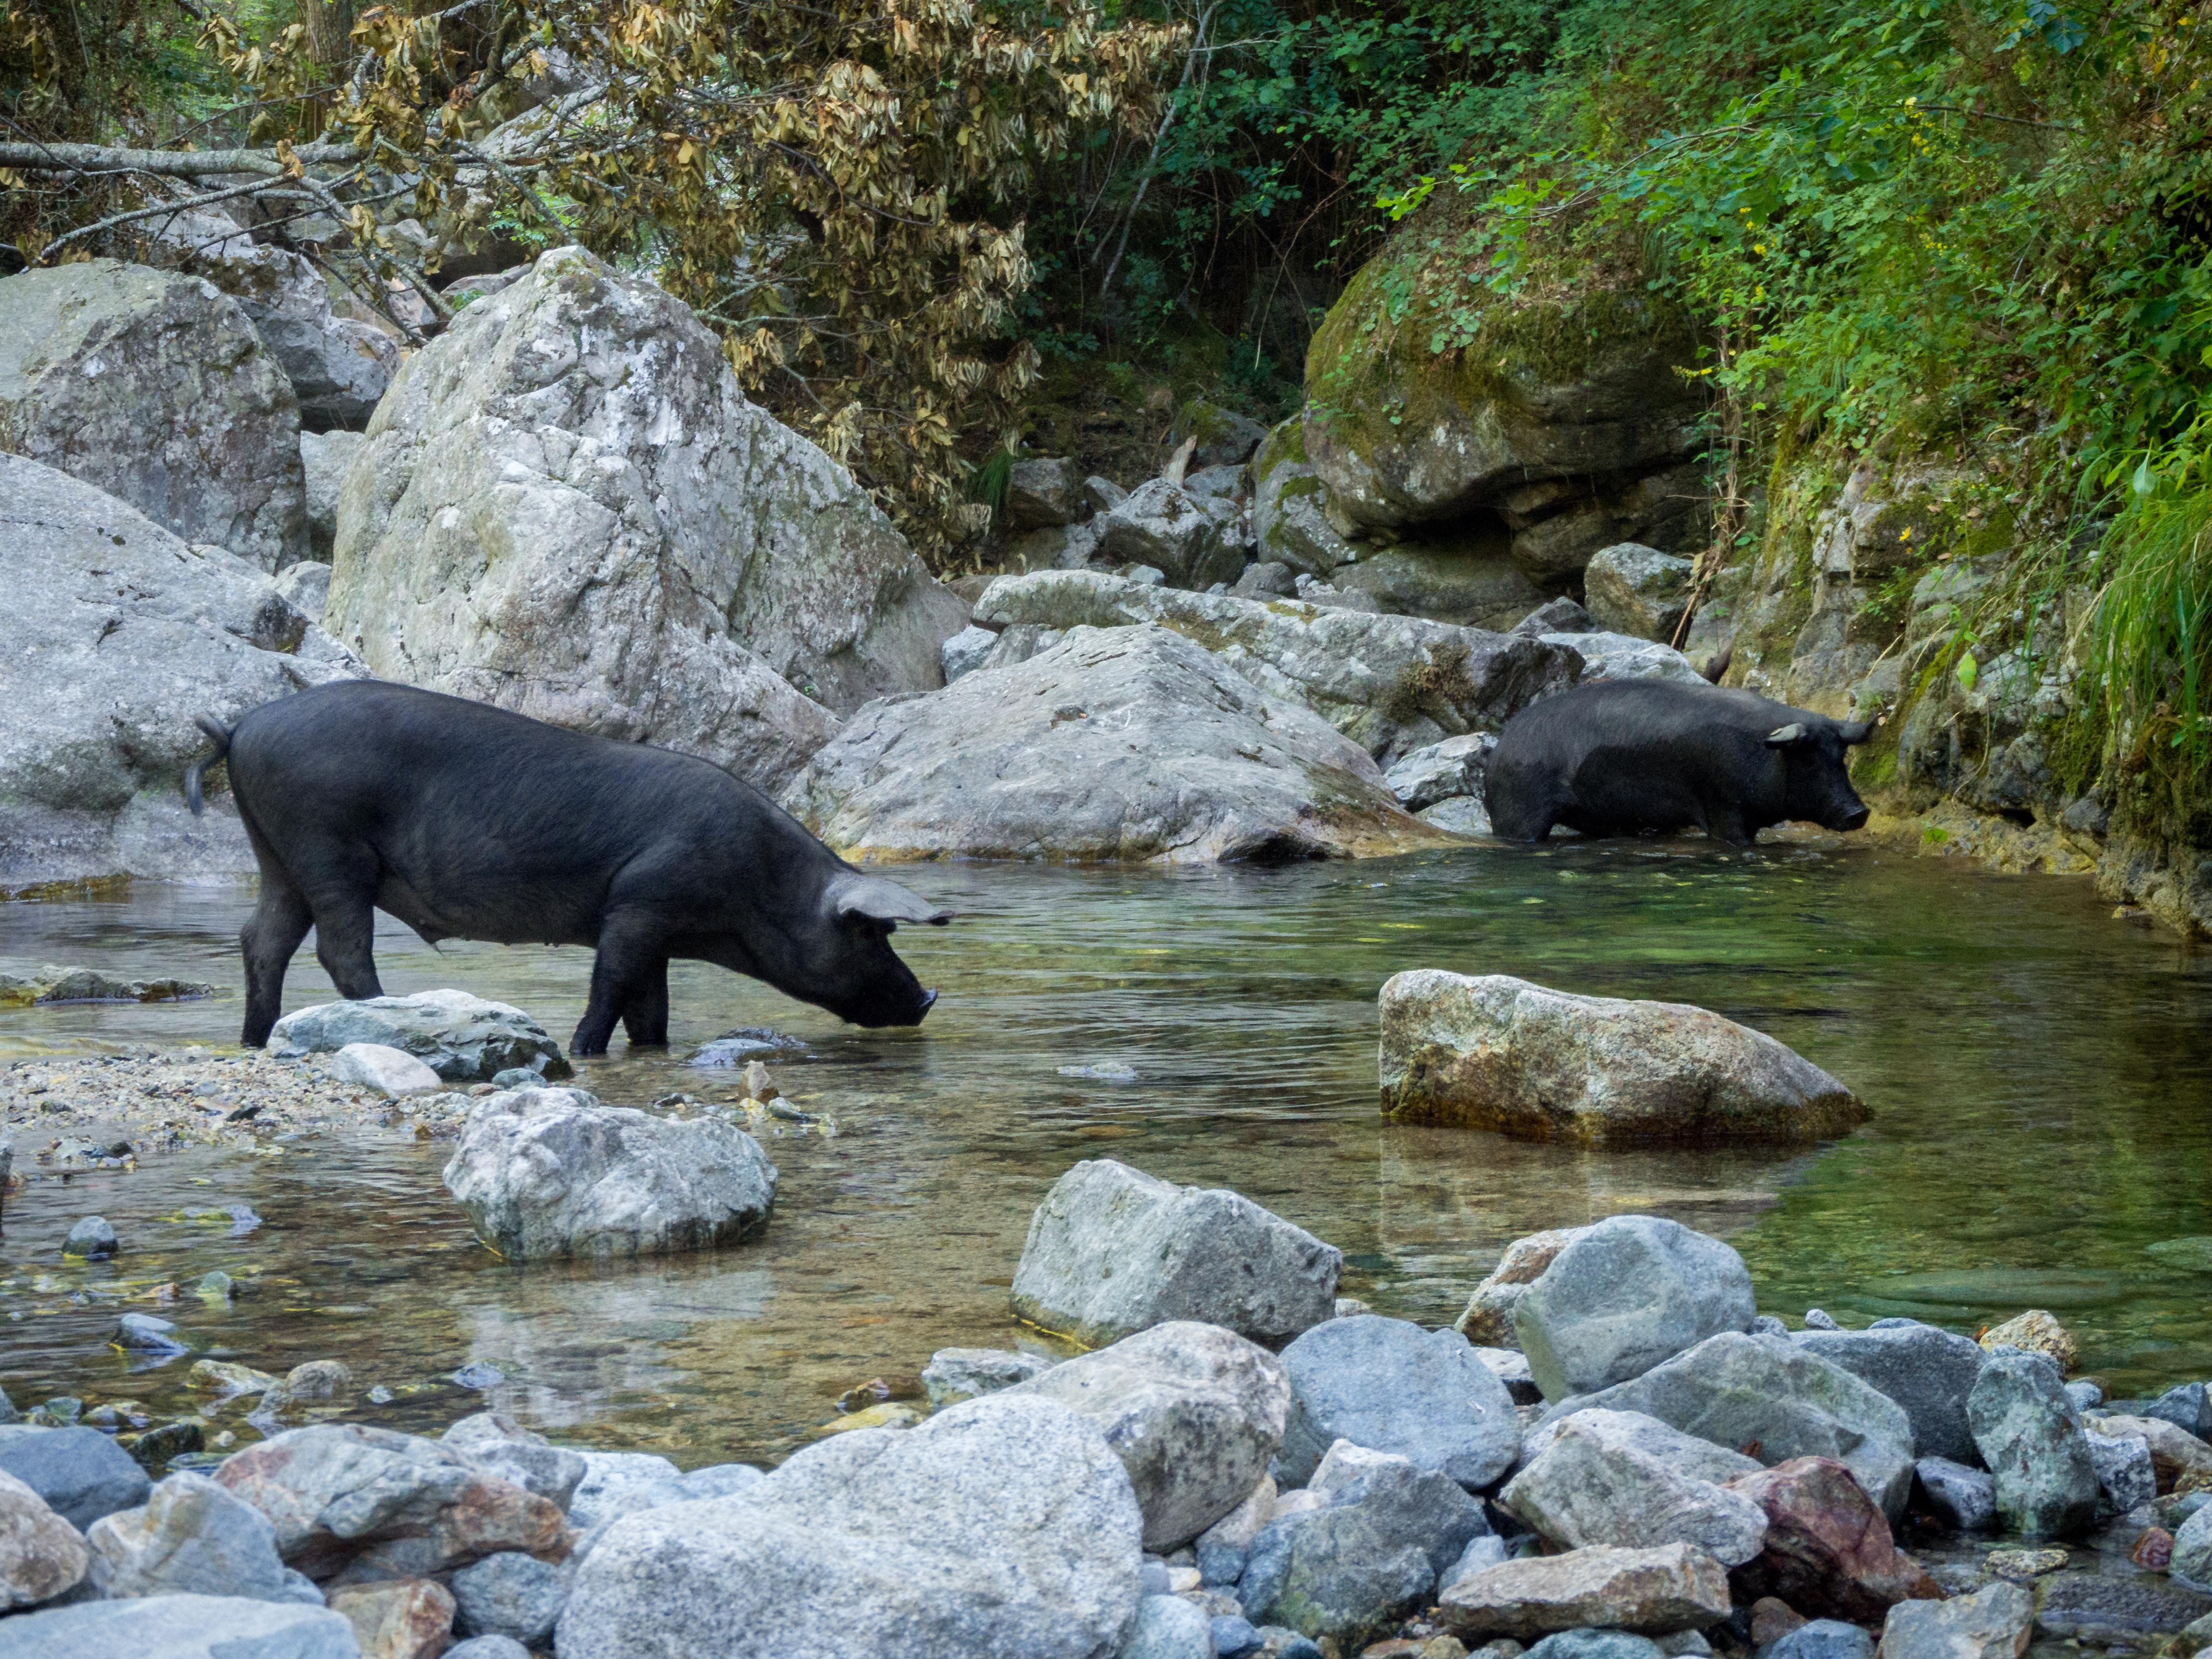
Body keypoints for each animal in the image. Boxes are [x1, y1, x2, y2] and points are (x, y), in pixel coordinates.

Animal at [185, 680, 946, 1055]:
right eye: (872, 933)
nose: (928, 997)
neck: (756, 883)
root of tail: (240, 726)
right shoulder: (640, 903)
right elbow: (609, 987)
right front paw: (582, 1053)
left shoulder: (659, 932)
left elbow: (650, 1010)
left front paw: (648, 1050)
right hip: (327, 846)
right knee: (339, 950)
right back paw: (385, 1012)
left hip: (276, 853)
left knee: (263, 940)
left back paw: (253, 1040)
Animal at [1484, 679, 1875, 847]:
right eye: (1808, 760)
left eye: (1841, 759)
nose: (1860, 812)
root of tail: (1503, 745)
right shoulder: (1723, 805)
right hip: (1518, 808)